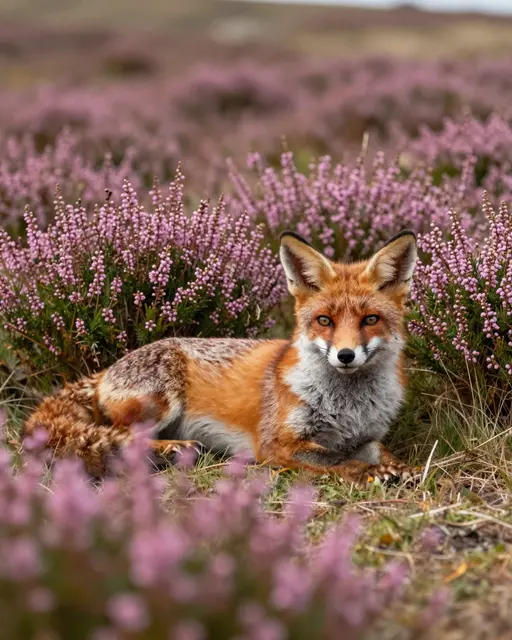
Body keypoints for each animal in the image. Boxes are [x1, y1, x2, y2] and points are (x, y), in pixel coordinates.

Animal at [24, 229, 420, 484]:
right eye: (325, 321)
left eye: (370, 320)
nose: (345, 355)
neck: (348, 408)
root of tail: (104, 371)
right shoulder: (276, 444)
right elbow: (336, 458)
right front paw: (370, 474)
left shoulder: (364, 436)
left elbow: (379, 450)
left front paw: (403, 468)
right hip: (160, 401)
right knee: (121, 437)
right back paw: (171, 450)